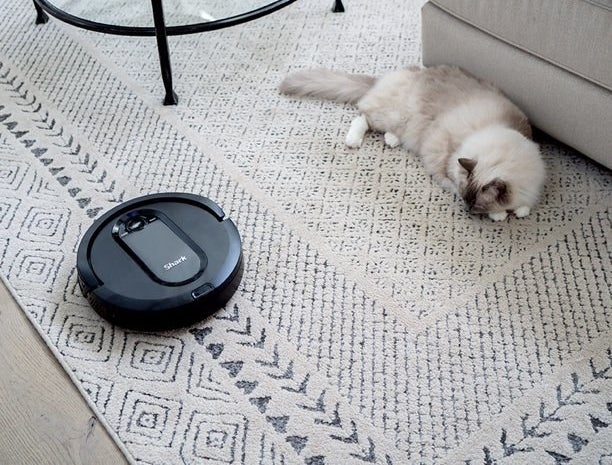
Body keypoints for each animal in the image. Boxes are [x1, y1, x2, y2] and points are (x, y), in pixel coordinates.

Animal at [280, 65, 548, 221]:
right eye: (467, 198)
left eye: (474, 202)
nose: (466, 209)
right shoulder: (445, 158)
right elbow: (452, 180)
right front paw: (500, 215)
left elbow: (524, 206)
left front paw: (519, 210)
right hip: (391, 115)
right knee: (362, 117)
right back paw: (353, 141)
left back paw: (392, 140)